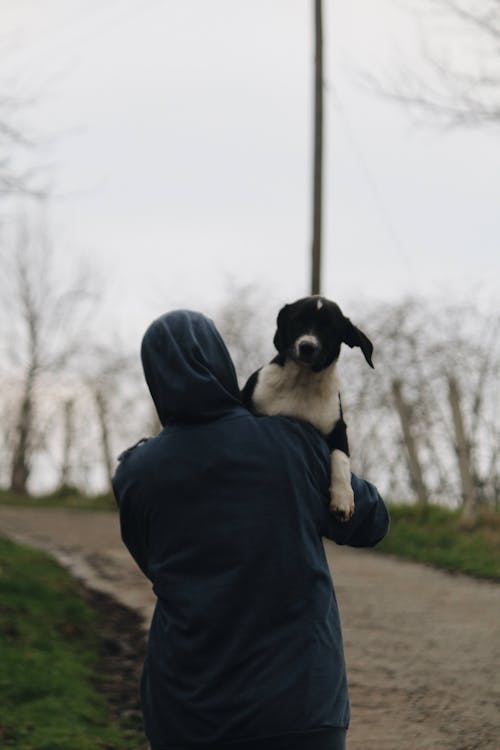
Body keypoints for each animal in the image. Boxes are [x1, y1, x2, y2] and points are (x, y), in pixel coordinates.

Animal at [240, 296, 374, 520]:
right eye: (297, 321)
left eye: (329, 328)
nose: (307, 347)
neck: (302, 382)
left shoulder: (338, 427)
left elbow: (341, 458)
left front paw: (343, 497)